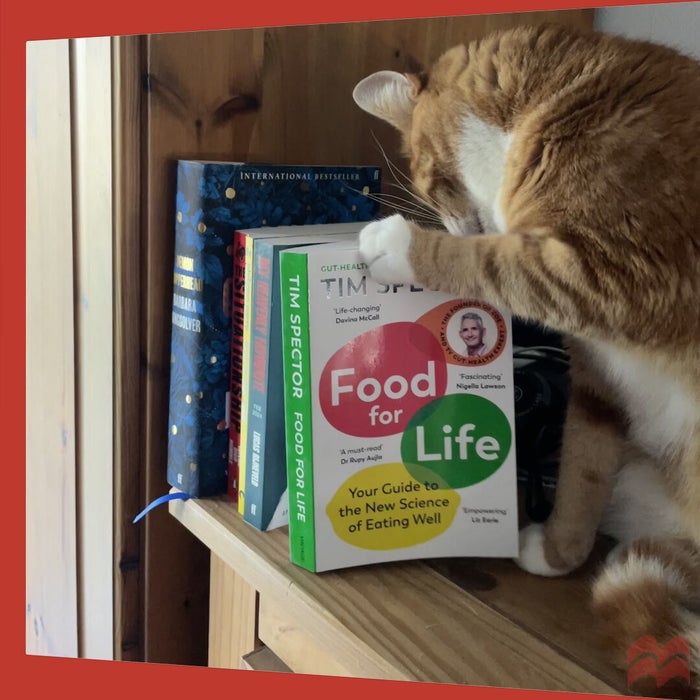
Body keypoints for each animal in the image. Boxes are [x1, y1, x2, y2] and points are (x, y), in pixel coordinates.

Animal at [352, 23, 700, 700]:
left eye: (427, 179)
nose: (452, 224)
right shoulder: (596, 377)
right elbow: (582, 473)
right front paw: (558, 553)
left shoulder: (619, 277)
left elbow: (491, 261)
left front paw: (397, 243)